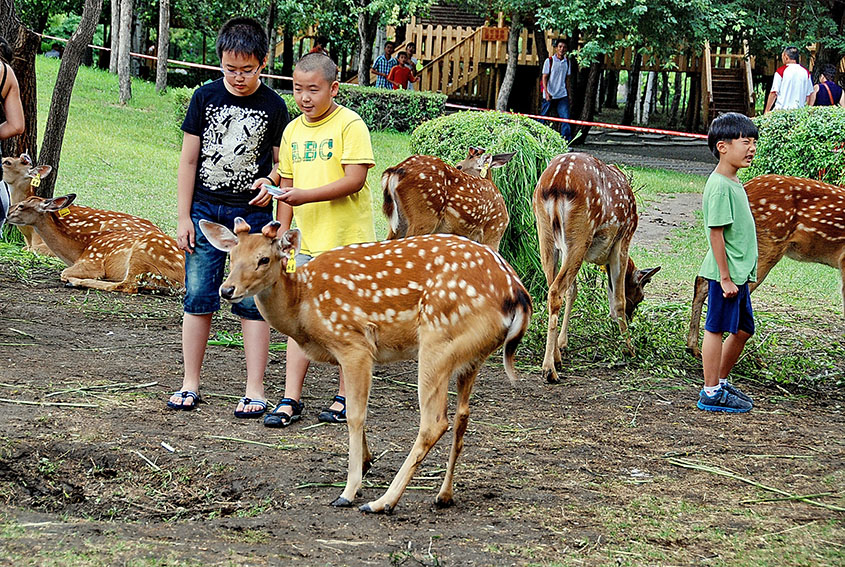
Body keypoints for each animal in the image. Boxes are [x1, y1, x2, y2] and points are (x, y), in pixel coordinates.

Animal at [7, 194, 185, 296]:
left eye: (21, 205)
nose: (7, 213)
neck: (78, 251)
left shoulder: (92, 262)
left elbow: (64, 272)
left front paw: (74, 278)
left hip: (142, 253)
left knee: (127, 285)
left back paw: (76, 282)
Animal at [201, 219, 532, 516]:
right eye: (233, 255)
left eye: (264, 259)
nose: (226, 290)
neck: (302, 306)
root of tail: (517, 294)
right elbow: (352, 407)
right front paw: (366, 460)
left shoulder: (354, 344)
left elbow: (355, 415)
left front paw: (349, 489)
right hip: (471, 355)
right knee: (463, 414)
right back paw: (443, 496)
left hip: (438, 340)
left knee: (435, 421)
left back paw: (381, 502)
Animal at [536, 153, 660, 384]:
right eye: (640, 298)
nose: (631, 317)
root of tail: (556, 181)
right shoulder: (623, 238)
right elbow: (617, 299)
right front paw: (629, 348)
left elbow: (574, 291)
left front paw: (562, 344)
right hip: (581, 232)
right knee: (556, 290)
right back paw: (549, 370)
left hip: (545, 233)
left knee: (552, 287)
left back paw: (555, 359)